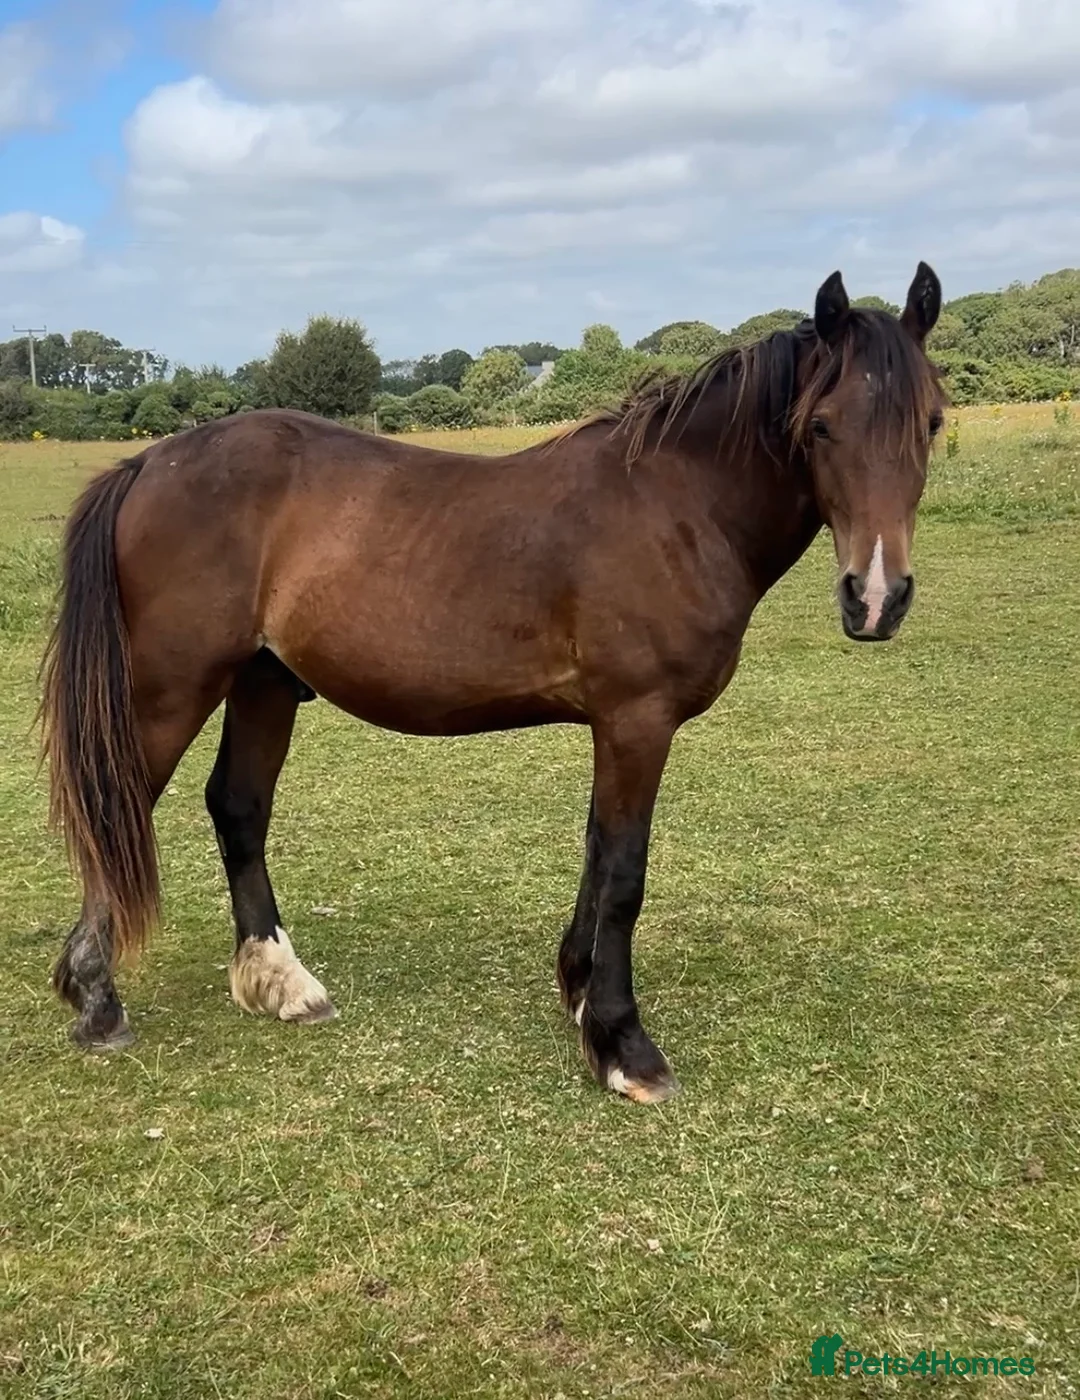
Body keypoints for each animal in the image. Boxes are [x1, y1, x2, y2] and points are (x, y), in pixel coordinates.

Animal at [41, 262, 943, 1103]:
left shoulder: (614, 726)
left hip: (263, 681)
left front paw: (580, 993)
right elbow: (624, 871)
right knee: (120, 803)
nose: (876, 596)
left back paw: (280, 981)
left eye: (931, 421)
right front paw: (624, 1045)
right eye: (821, 425)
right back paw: (96, 997)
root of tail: (150, 460)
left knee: (238, 807)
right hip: (172, 689)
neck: (678, 507)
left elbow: (596, 850)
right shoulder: (638, 719)